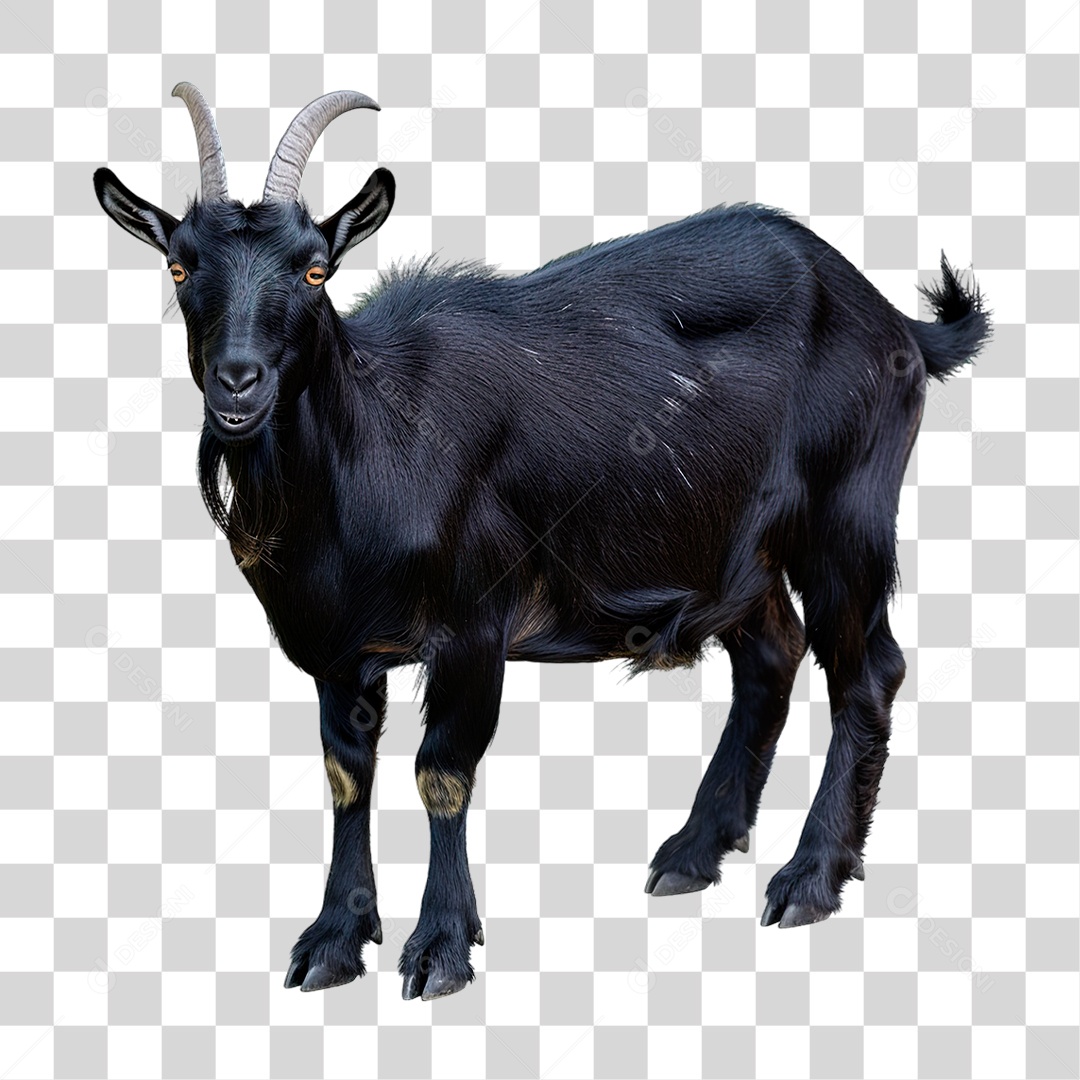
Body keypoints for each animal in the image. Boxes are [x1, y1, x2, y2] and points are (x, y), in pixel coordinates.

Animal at [95, 84, 991, 1000]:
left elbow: (442, 772)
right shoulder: (340, 651)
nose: (239, 383)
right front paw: (334, 942)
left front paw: (441, 949)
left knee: (866, 672)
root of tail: (896, 325)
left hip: (847, 516)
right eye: (179, 266)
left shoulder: (472, 627)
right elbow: (348, 773)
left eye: (315, 270)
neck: (373, 447)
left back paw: (809, 878)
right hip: (735, 547)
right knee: (773, 652)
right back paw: (694, 851)